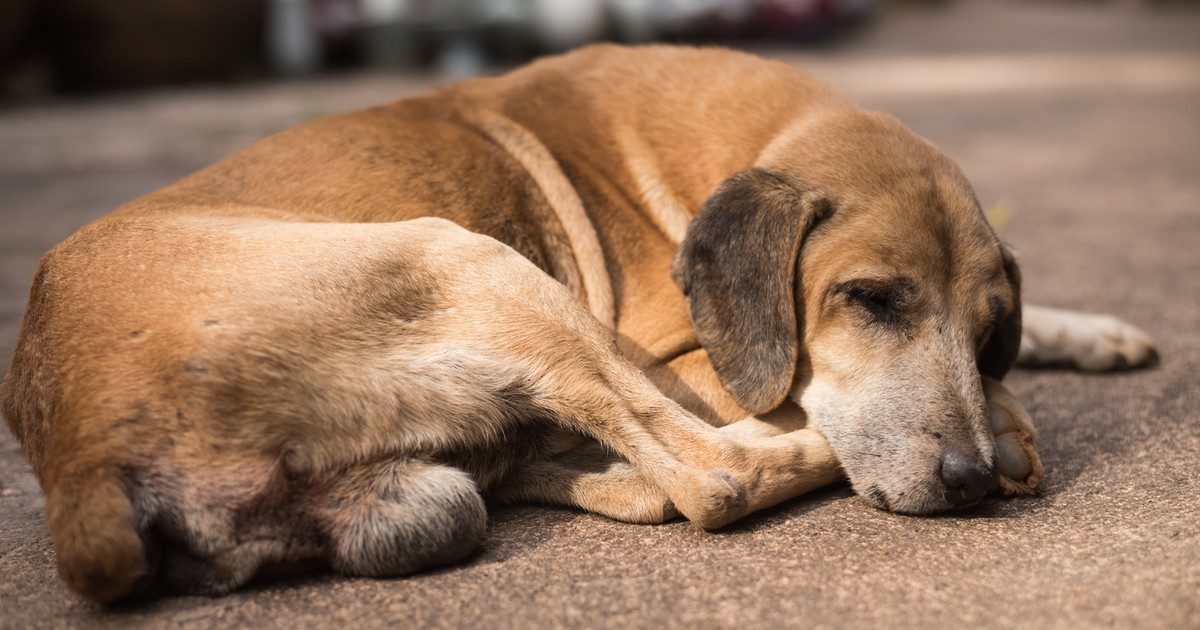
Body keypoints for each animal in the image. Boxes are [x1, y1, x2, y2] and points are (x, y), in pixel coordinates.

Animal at [2, 44, 1161, 600]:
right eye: (871, 300)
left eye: (988, 324)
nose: (968, 480)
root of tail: (77, 452)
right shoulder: (679, 356)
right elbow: (758, 420)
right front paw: (1008, 413)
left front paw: (1077, 333)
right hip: (472, 259)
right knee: (709, 476)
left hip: (433, 497)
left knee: (616, 482)